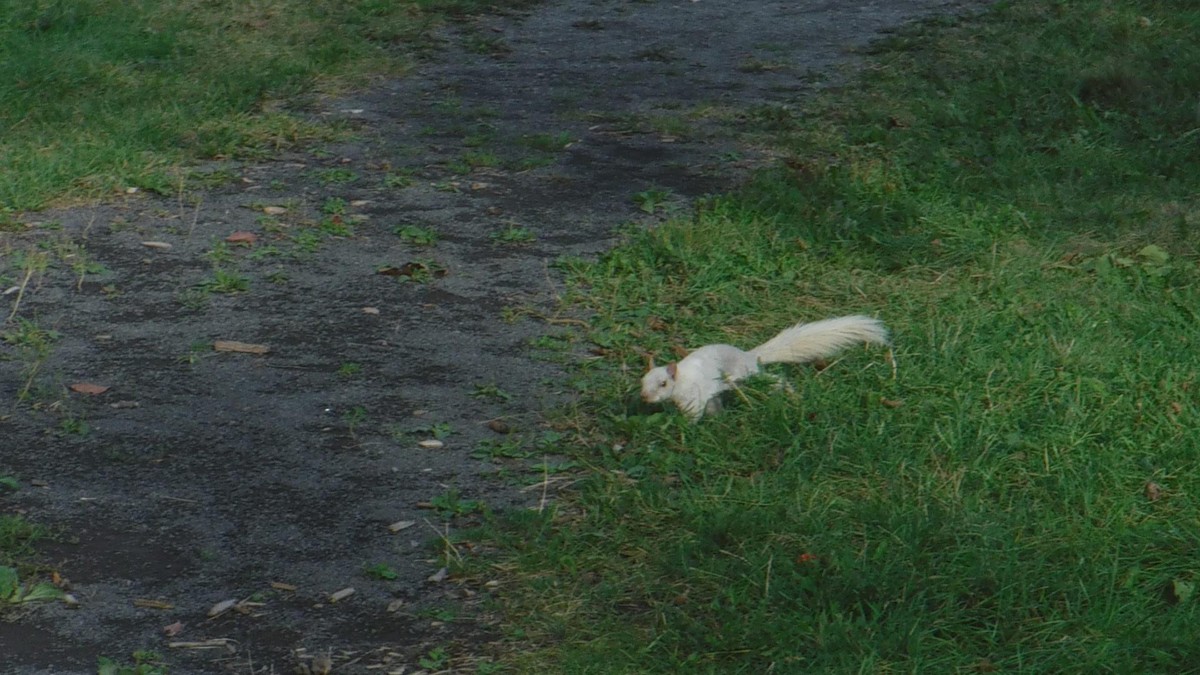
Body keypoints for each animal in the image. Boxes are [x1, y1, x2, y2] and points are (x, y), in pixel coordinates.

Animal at [640, 315, 889, 420]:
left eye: (663, 383)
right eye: (642, 381)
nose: (644, 397)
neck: (681, 379)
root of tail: (749, 356)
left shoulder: (694, 397)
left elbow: (694, 414)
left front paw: (686, 428)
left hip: (745, 375)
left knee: (776, 379)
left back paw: (791, 394)